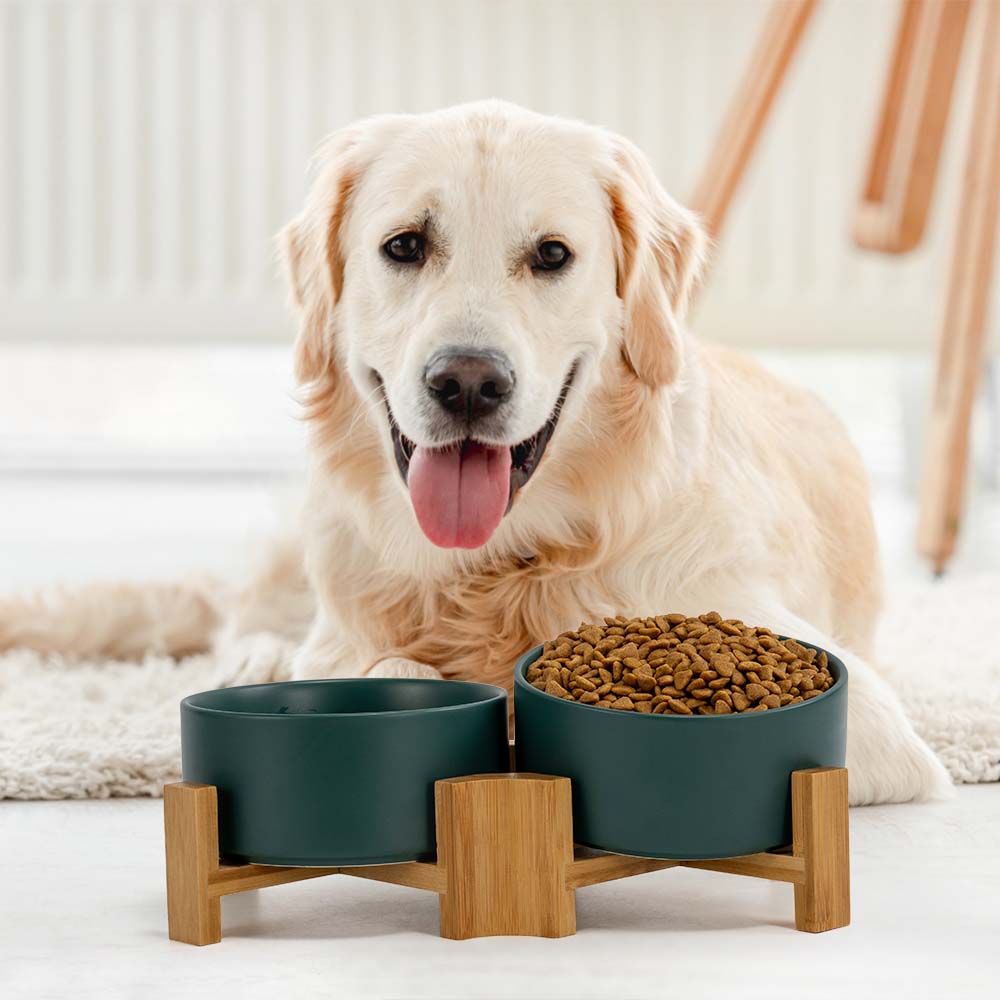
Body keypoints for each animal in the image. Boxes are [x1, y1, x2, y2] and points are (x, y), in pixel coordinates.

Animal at [0, 101, 948, 804]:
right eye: (405, 245)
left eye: (553, 255)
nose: (466, 383)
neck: (498, 568)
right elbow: (377, 663)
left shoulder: (862, 719)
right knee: (240, 614)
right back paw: (256, 658)